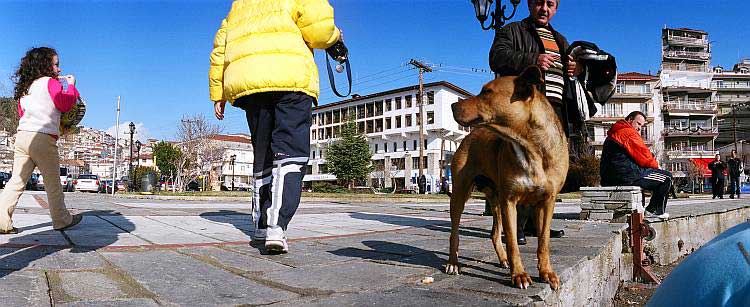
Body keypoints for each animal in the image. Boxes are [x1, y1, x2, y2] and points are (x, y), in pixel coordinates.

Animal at [446, 67, 568, 292]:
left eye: (486, 92)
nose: (452, 105)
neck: (530, 146)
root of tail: (469, 136)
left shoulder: (547, 202)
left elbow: (543, 241)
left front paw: (546, 273)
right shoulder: (510, 201)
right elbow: (512, 242)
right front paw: (519, 275)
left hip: (495, 201)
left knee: (494, 234)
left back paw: (502, 260)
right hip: (461, 195)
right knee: (454, 233)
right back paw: (453, 263)